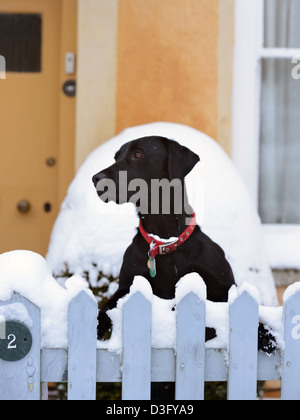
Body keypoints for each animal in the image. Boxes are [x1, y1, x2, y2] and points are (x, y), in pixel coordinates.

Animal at [92, 137, 276, 398]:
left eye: (138, 154)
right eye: (116, 156)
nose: (95, 178)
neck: (165, 243)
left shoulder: (224, 287)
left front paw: (265, 335)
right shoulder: (125, 288)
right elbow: (104, 308)